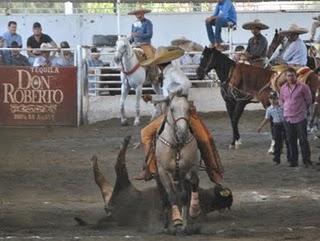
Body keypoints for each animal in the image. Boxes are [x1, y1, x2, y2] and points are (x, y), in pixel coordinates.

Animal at [76, 136, 234, 232]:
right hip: (114, 191)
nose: (220, 186)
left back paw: (123, 143)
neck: (207, 198)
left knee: (117, 168)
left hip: (123, 186)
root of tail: (112, 213)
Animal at [155, 93, 200, 232]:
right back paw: (166, 225)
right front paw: (177, 221)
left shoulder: (188, 169)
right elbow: (171, 195)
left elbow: (186, 194)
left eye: (188, 109)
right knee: (164, 196)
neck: (177, 144)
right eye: (172, 109)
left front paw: (187, 222)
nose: (182, 132)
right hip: (160, 177)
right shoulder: (163, 172)